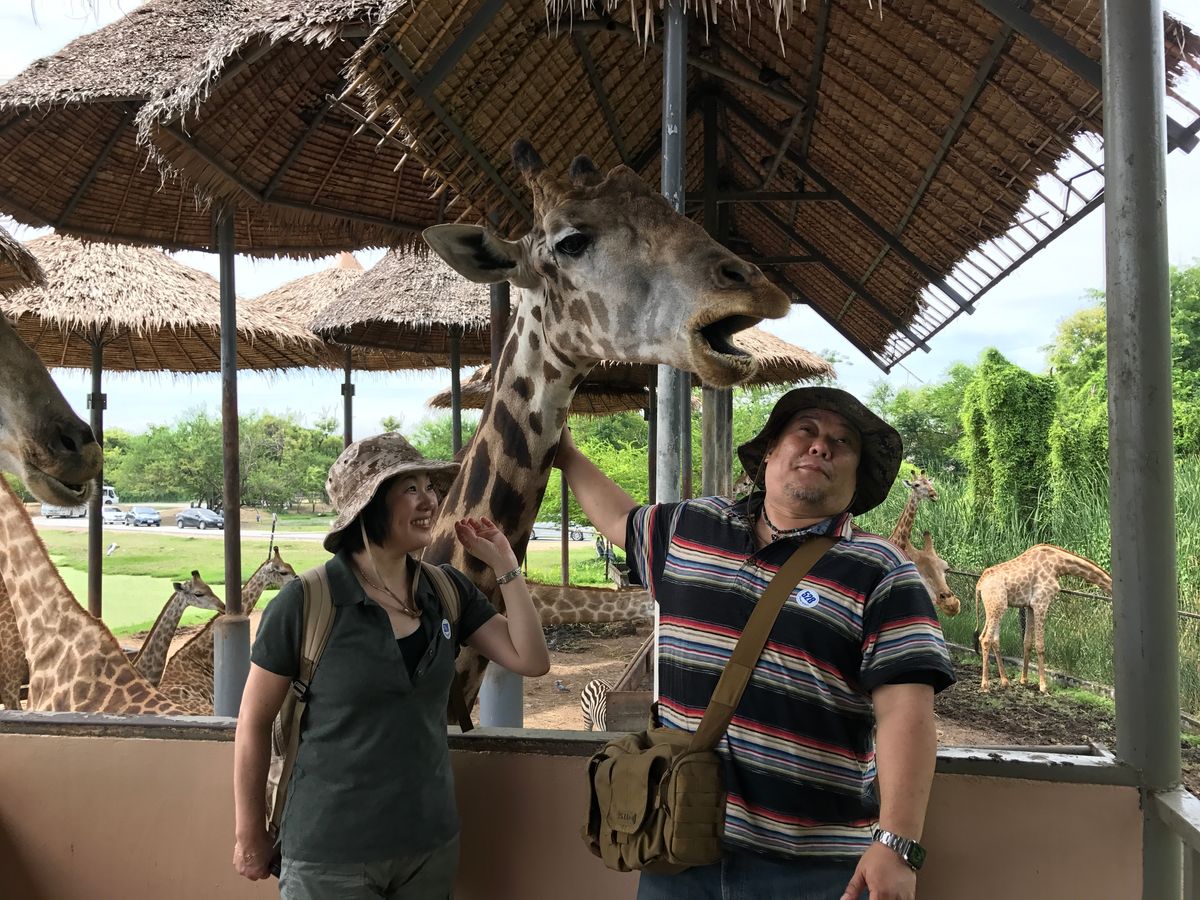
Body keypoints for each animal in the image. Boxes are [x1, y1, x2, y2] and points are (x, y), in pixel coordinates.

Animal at [974, 543, 1113, 693]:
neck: (1059, 565)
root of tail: (979, 585)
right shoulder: (1041, 603)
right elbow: (1040, 645)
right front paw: (1043, 686)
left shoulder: (1030, 606)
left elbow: (1027, 642)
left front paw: (1024, 680)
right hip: (997, 606)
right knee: (986, 639)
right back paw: (985, 685)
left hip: (994, 607)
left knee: (991, 638)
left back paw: (1005, 682)